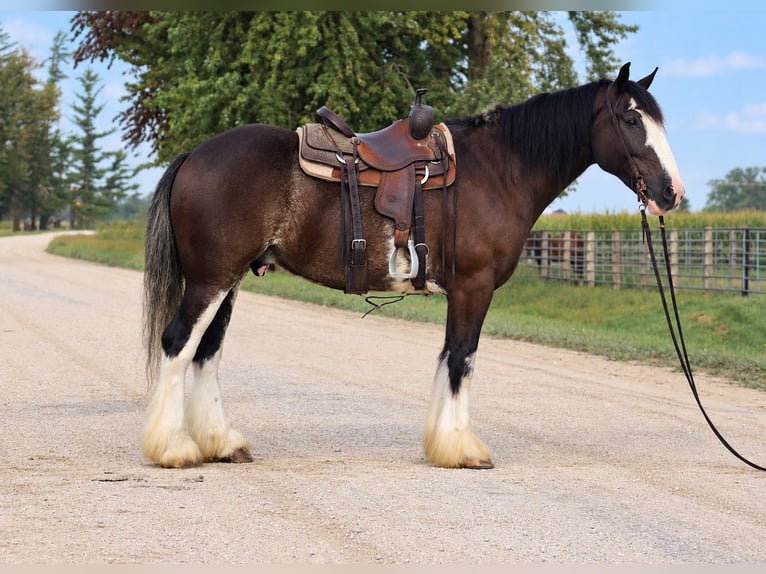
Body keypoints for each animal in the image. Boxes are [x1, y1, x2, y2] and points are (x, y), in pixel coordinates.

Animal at [141, 62, 684, 469]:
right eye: (631, 121)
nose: (670, 192)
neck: (499, 170)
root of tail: (195, 155)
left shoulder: (462, 291)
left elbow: (448, 357)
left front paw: (443, 442)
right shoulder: (474, 287)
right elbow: (462, 358)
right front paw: (462, 448)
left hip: (230, 281)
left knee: (206, 352)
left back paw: (221, 443)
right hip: (212, 280)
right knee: (178, 343)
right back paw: (173, 448)